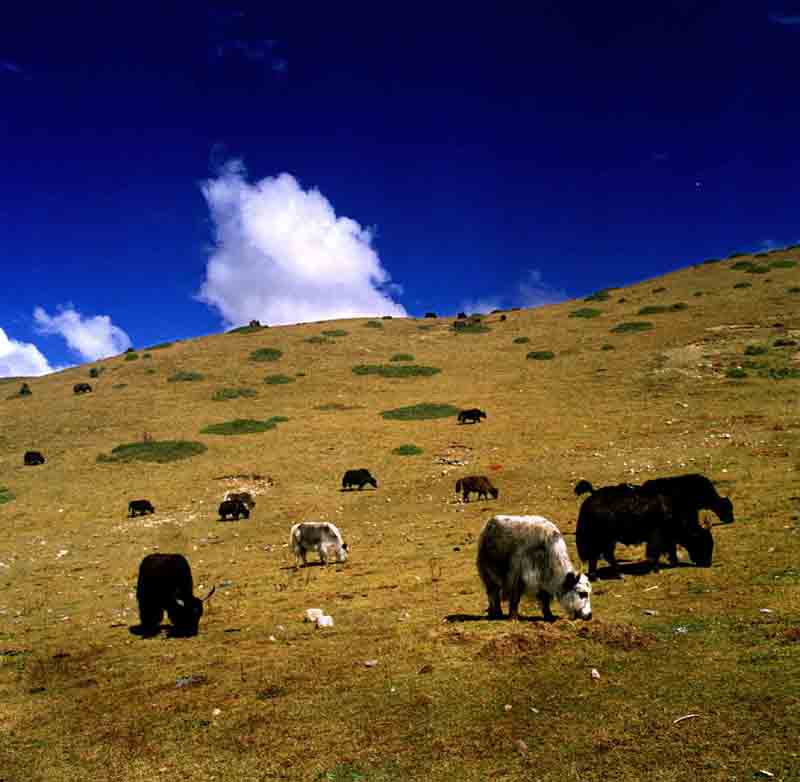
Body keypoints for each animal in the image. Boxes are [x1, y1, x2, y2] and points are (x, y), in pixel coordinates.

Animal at [572, 478, 716, 580]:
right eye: (704, 542)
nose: (707, 563)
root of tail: (590, 498)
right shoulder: (657, 537)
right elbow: (655, 553)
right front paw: (656, 569)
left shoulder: (668, 538)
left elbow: (670, 549)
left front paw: (673, 562)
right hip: (604, 539)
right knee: (603, 555)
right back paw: (617, 574)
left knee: (598, 556)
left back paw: (599, 576)